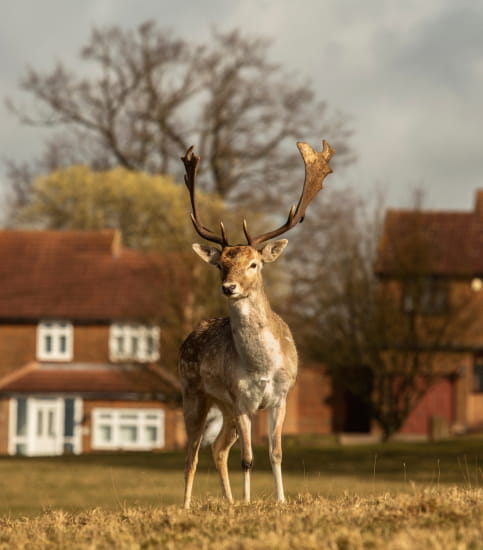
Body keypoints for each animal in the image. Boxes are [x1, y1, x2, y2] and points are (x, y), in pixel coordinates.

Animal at [180, 140, 334, 512]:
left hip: (224, 408)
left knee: (218, 448)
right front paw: (250, 502)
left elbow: (275, 453)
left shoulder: (280, 397)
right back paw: (187, 505)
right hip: (194, 393)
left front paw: (279, 500)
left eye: (254, 263)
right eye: (221, 264)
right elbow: (248, 458)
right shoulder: (243, 400)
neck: (262, 367)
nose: (229, 287)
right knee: (193, 453)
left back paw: (229, 501)